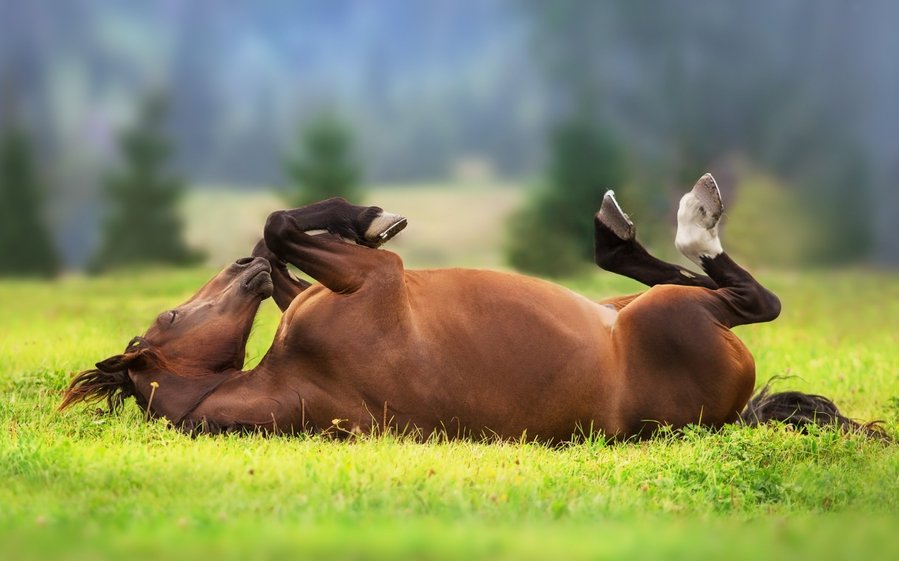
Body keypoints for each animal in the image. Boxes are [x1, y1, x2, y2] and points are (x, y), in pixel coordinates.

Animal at [59, 175, 884, 442]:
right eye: (169, 321)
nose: (240, 272)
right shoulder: (375, 277)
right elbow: (286, 223)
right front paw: (368, 216)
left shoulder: (327, 288)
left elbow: (280, 234)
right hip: (676, 317)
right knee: (748, 298)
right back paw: (691, 219)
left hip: (627, 304)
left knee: (656, 275)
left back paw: (617, 230)